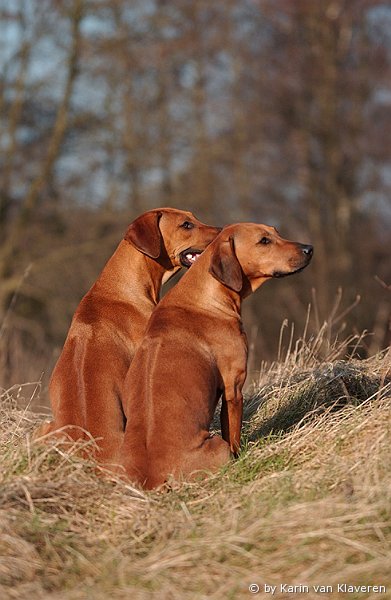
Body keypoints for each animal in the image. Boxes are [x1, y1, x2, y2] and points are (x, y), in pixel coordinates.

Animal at [118, 223, 314, 490]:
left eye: (276, 232)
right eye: (264, 241)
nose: (309, 248)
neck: (204, 297)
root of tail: (152, 477)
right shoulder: (234, 388)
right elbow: (233, 435)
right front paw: (241, 458)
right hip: (216, 447)